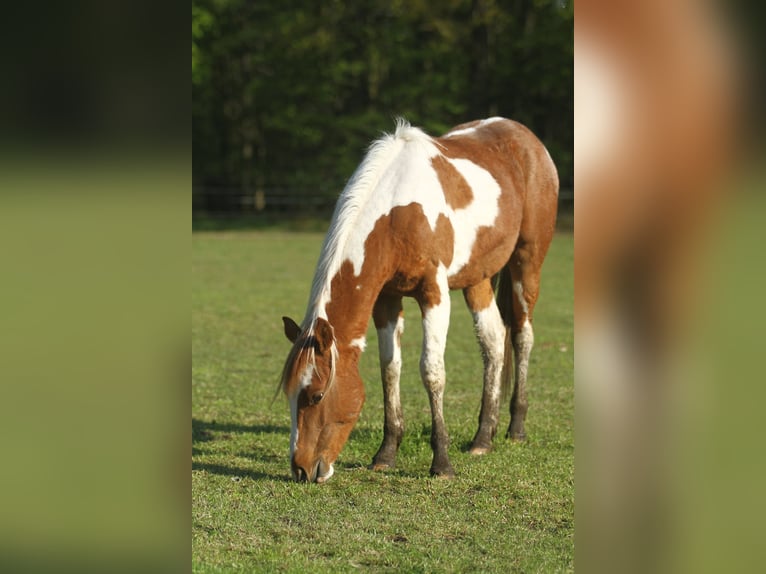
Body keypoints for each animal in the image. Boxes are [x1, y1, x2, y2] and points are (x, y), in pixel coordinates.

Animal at [280, 117, 560, 482]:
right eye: (289, 394)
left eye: (315, 396)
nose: (301, 469)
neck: (397, 213)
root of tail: (527, 138)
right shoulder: (386, 300)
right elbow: (390, 369)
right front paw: (386, 453)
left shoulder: (434, 294)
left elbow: (432, 371)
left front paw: (441, 462)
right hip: (478, 279)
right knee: (494, 342)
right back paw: (483, 438)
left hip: (527, 264)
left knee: (522, 337)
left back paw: (516, 429)